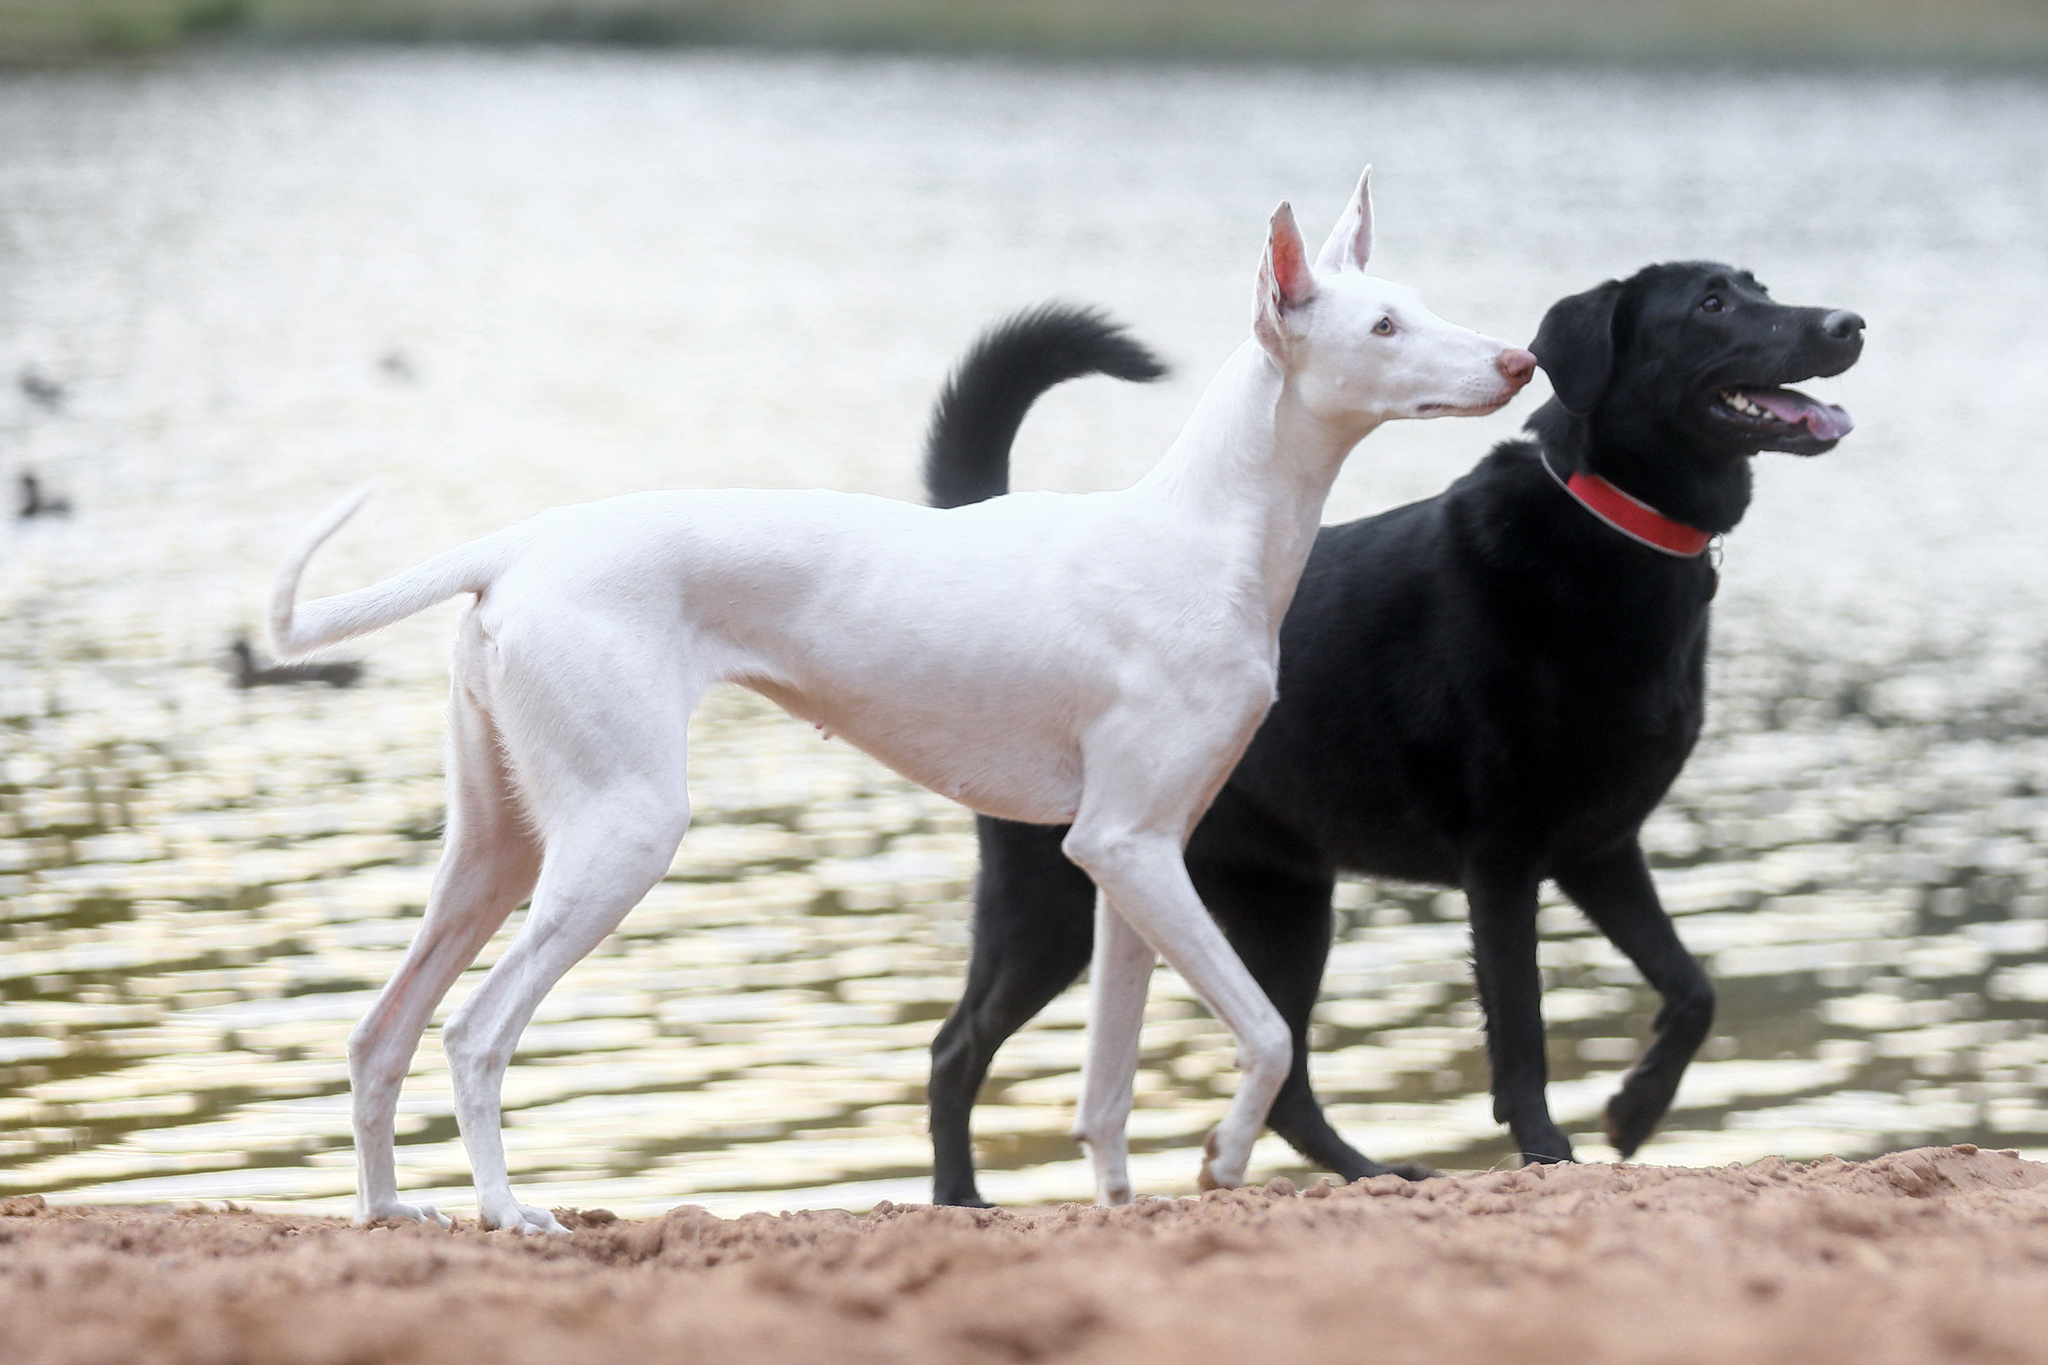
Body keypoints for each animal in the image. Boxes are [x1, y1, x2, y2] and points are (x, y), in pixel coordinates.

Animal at [272, 167, 1531, 1227]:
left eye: (1415, 304)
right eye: (1381, 328)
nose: (1520, 363)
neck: (1201, 536)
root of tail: (520, 546)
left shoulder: (1130, 858)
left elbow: (1106, 1089)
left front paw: (1127, 1208)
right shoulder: (1125, 849)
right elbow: (1266, 1034)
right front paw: (1222, 1157)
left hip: (501, 847)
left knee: (379, 1034)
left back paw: (388, 1213)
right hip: (620, 833)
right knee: (474, 1034)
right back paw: (507, 1210)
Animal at [921, 270, 1867, 1203]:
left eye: (1758, 286)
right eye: (1712, 304)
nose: (1849, 324)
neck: (1616, 526)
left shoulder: (1602, 848)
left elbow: (1694, 987)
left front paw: (1635, 1108)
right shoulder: (1504, 860)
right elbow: (1521, 1028)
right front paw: (1548, 1150)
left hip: (1284, 902)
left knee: (1287, 1079)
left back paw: (1372, 1175)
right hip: (1057, 900)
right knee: (955, 1048)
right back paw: (961, 1196)